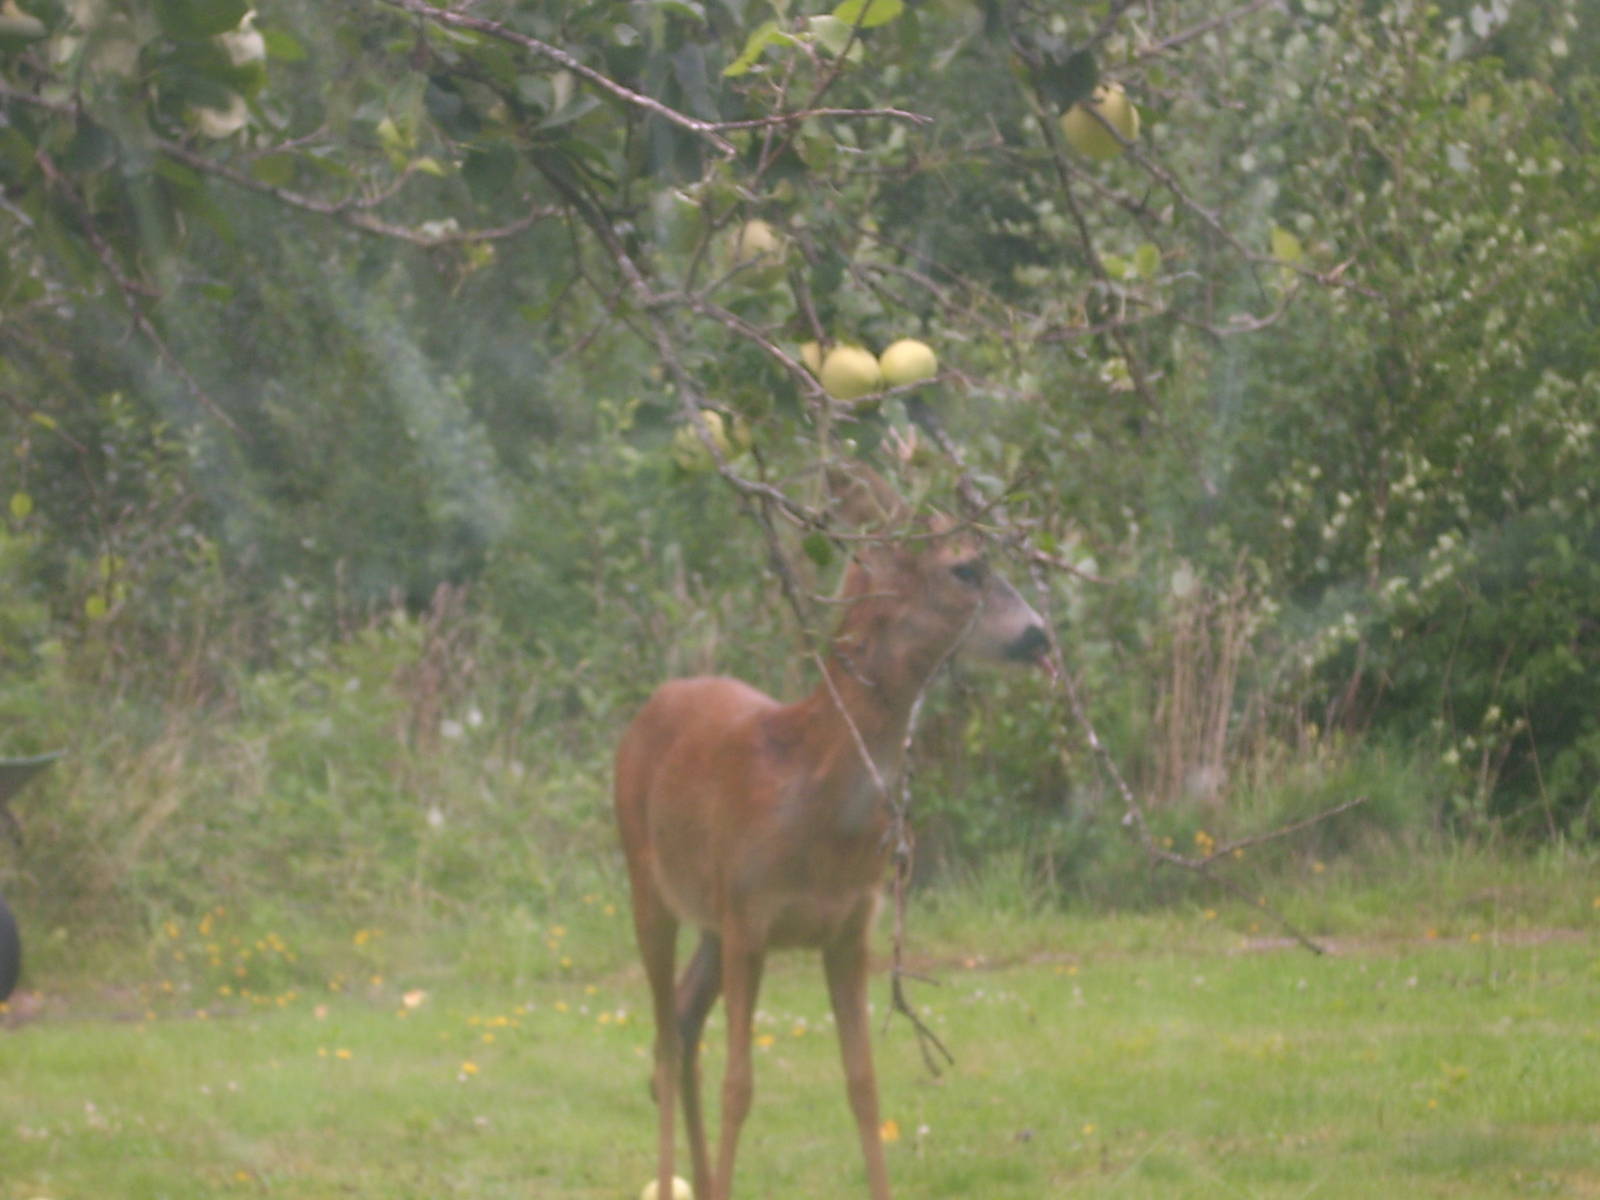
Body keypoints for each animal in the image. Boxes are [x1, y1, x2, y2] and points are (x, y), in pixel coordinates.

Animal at [613, 467, 1050, 1200]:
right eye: (966, 567)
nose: (1041, 635)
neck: (811, 798)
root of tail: (653, 704)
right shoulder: (750, 915)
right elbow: (740, 1085)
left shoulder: (848, 926)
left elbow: (864, 1085)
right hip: (647, 880)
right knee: (668, 1038)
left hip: (711, 919)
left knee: (682, 1023)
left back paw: (700, 1181)